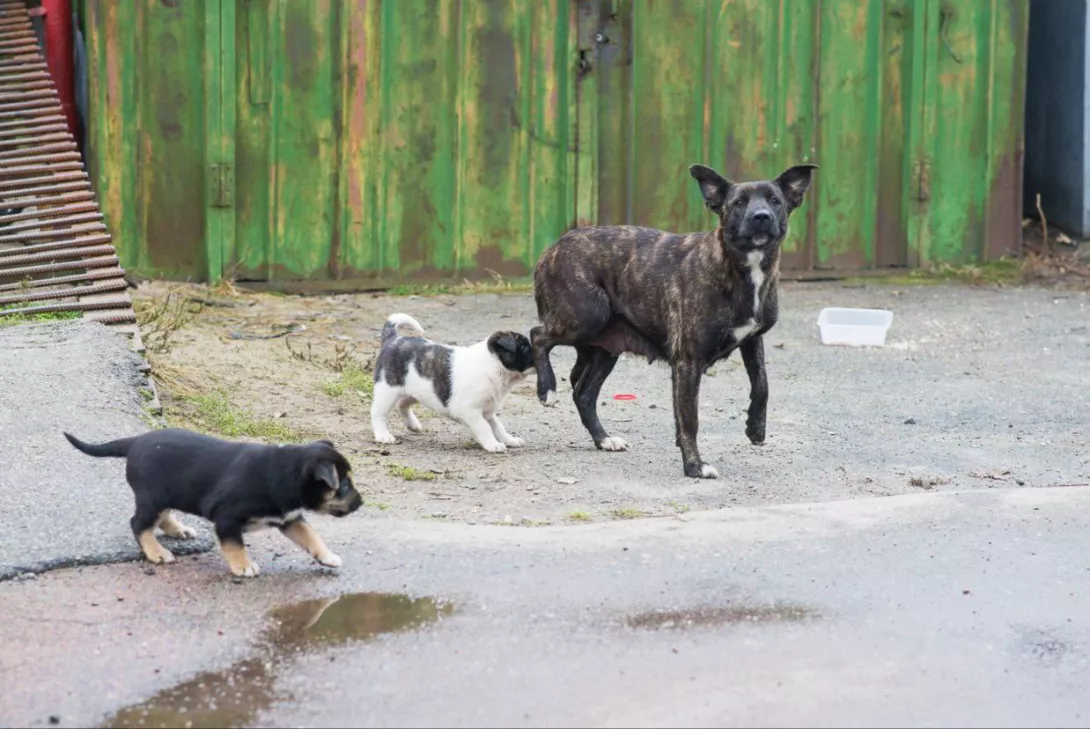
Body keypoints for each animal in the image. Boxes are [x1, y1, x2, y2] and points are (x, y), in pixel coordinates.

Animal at [63, 429, 362, 577]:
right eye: (344, 485)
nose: (361, 503)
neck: (284, 472)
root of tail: (136, 441)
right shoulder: (227, 518)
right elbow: (235, 545)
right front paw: (243, 566)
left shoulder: (290, 519)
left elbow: (311, 536)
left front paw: (327, 556)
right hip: (151, 498)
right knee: (139, 524)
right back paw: (156, 552)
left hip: (167, 494)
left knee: (161, 516)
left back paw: (178, 530)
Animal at [370, 313, 534, 453]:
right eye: (525, 347)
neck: (492, 367)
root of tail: (392, 340)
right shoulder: (471, 411)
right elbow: (484, 427)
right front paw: (493, 444)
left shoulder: (487, 411)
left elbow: (498, 426)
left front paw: (510, 440)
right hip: (388, 390)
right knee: (377, 413)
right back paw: (383, 435)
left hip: (417, 392)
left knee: (402, 404)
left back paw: (413, 425)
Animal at [530, 162, 817, 479]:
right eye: (739, 203)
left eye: (774, 200)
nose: (761, 216)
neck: (740, 267)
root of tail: (553, 247)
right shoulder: (688, 362)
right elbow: (690, 419)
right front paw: (694, 466)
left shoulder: (752, 339)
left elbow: (762, 384)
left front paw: (755, 427)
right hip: (586, 316)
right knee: (538, 335)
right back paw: (547, 389)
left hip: (607, 348)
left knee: (583, 394)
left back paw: (604, 439)